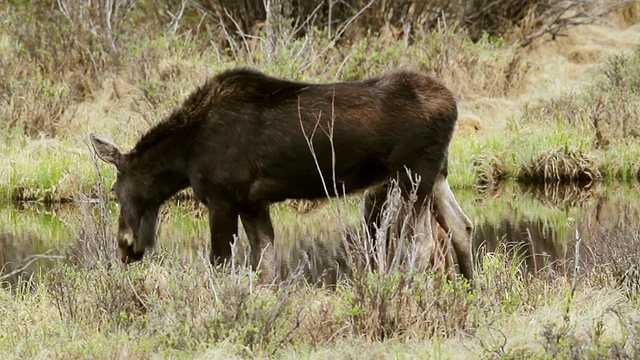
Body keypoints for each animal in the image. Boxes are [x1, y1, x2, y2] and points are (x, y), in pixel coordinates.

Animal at [90, 68, 472, 282]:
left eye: (115, 192)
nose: (126, 248)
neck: (184, 159)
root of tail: (453, 104)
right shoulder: (253, 203)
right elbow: (265, 263)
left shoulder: (222, 198)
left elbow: (220, 261)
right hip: (437, 174)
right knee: (461, 227)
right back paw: (470, 291)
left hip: (412, 174)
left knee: (424, 241)